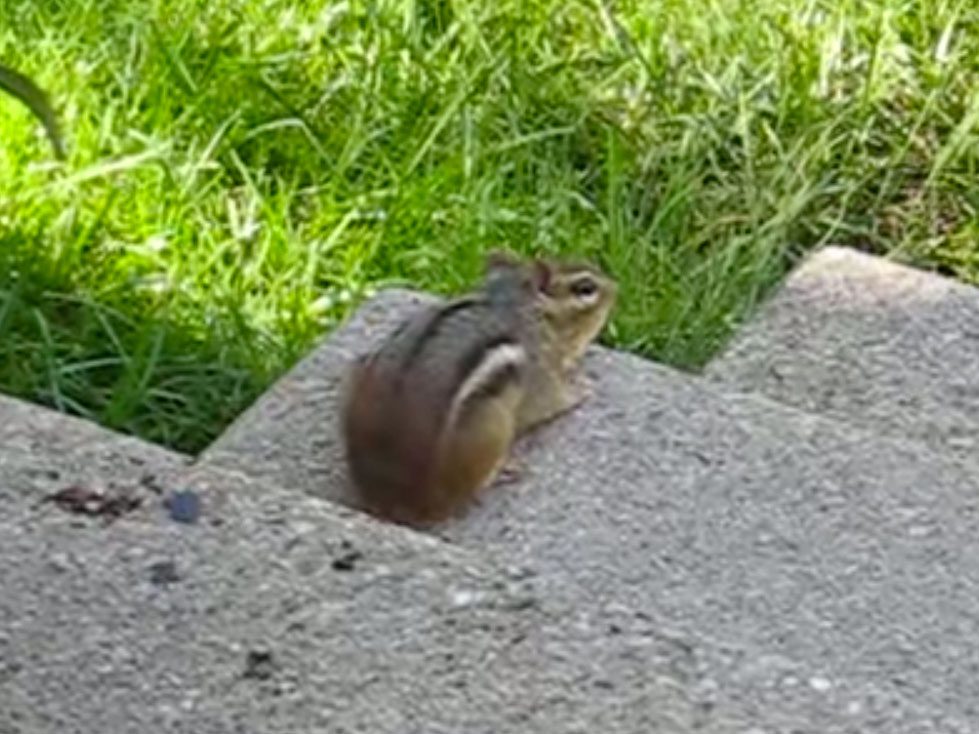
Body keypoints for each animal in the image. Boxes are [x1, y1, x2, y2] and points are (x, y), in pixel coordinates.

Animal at [339, 250, 617, 527]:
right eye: (586, 288)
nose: (616, 288)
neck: (516, 303)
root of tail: (392, 496)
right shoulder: (540, 372)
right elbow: (552, 402)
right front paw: (581, 388)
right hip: (492, 425)